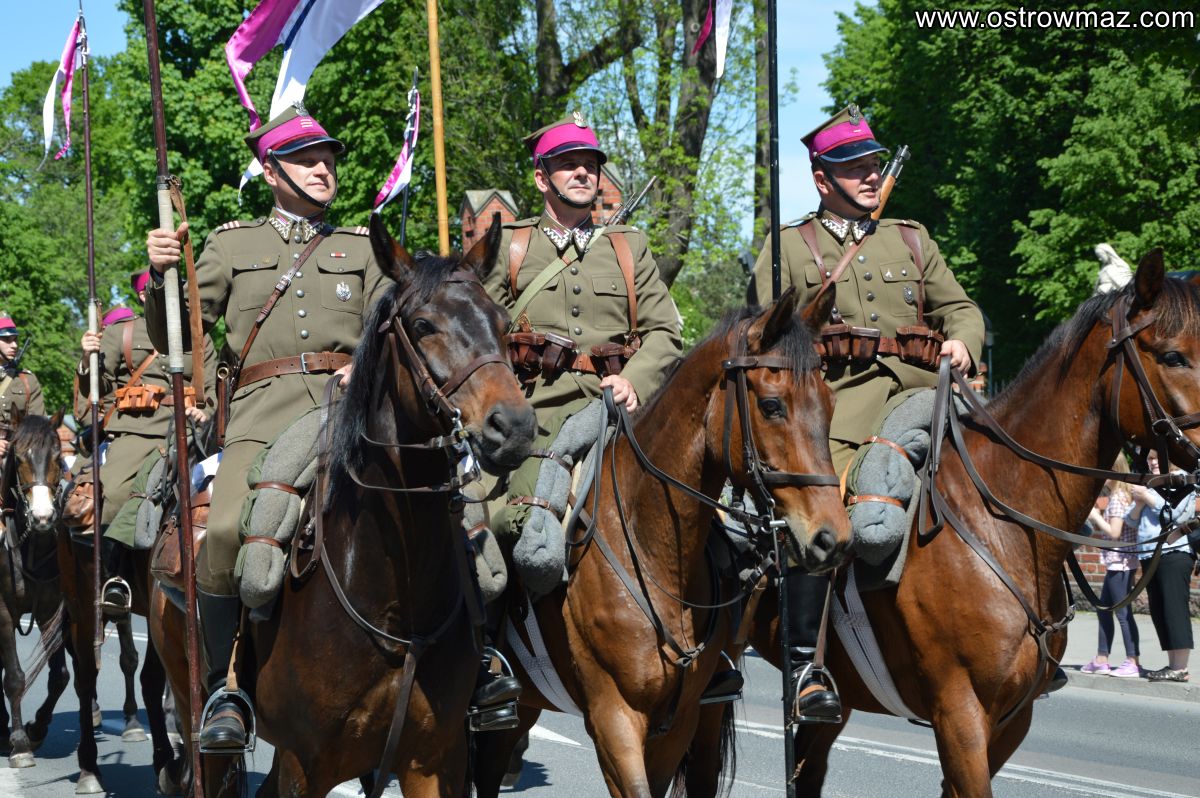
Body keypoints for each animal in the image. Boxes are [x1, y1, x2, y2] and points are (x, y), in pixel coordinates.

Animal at [150, 213, 538, 798]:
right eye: (422, 325)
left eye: (502, 319)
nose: (512, 427)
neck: (397, 594)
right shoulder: (305, 765)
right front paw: (160, 258)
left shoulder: (434, 760)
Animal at [471, 287, 854, 798]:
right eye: (772, 405)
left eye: (830, 402)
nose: (833, 537)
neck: (650, 546)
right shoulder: (614, 718)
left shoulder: (678, 723)